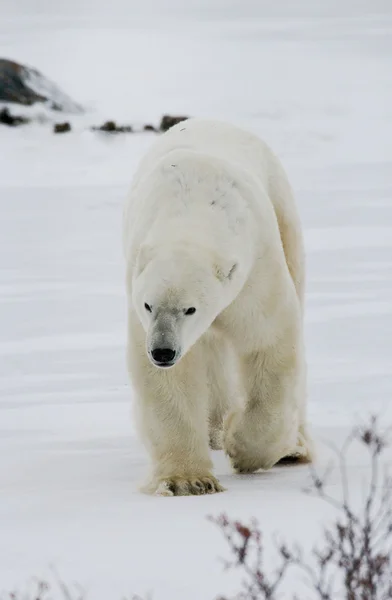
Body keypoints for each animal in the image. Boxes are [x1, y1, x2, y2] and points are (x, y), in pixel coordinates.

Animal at [124, 117, 314, 496]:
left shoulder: (255, 272)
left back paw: (293, 448)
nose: (163, 351)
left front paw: (243, 447)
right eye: (149, 305)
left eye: (190, 309)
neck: (192, 214)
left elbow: (269, 343)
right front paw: (187, 480)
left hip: (284, 214)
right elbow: (169, 381)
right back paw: (214, 427)